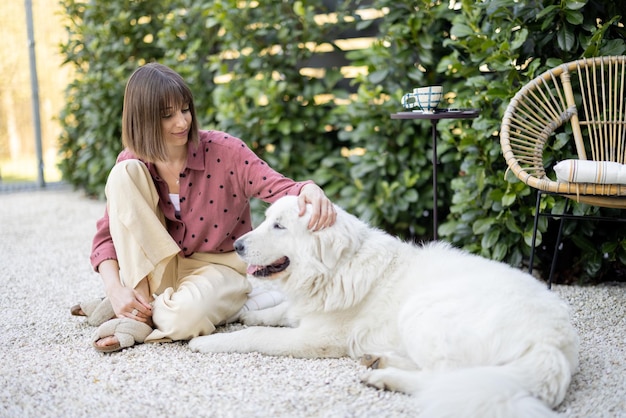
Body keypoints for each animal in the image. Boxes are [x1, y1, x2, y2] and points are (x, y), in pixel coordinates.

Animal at [188, 197, 576, 418]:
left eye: (279, 226)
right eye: (267, 219)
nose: (237, 245)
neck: (335, 269)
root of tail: (554, 344)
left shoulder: (315, 338)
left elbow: (256, 334)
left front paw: (207, 341)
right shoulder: (306, 309)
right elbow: (277, 313)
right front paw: (247, 312)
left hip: (422, 309)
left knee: (444, 377)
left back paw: (383, 377)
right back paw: (379, 360)